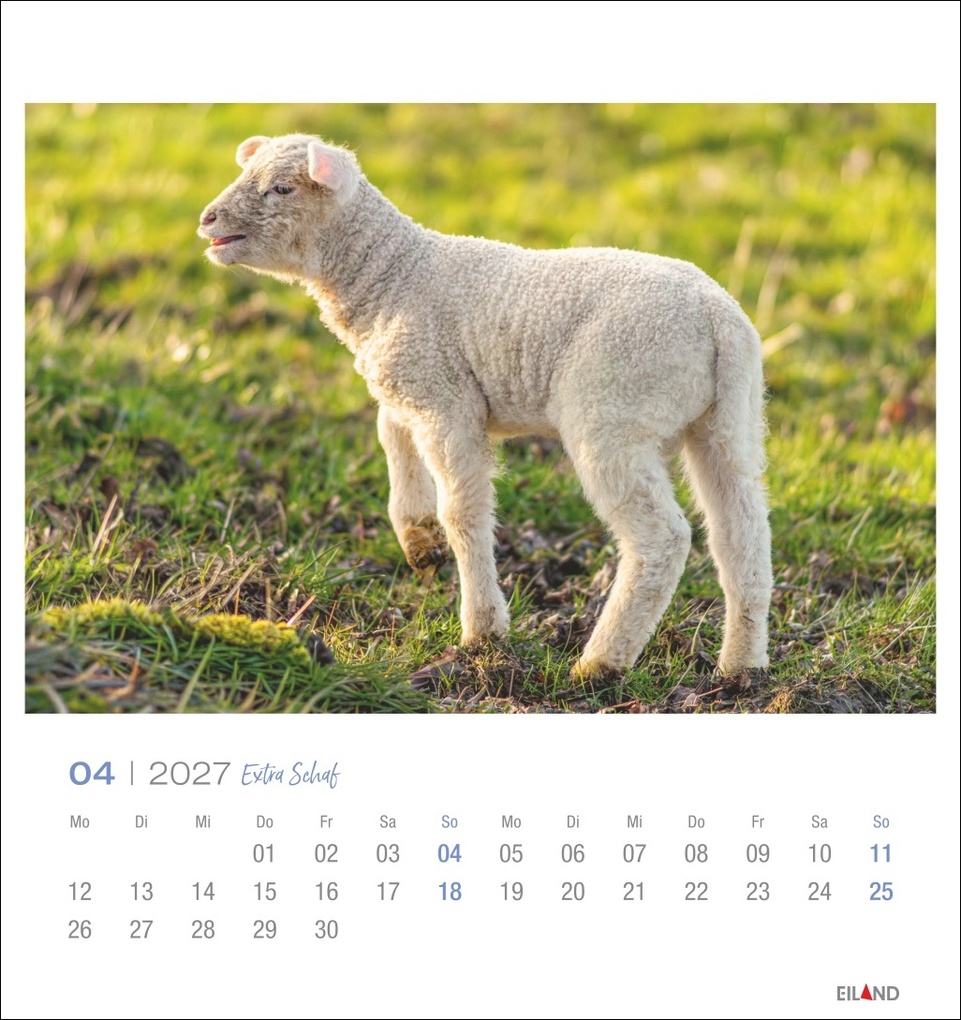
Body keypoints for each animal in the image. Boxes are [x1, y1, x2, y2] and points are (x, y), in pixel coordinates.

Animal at [198, 133, 772, 679]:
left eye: (281, 188)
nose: (207, 219)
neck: (391, 275)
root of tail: (717, 316)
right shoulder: (415, 382)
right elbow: (390, 435)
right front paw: (417, 538)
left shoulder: (447, 403)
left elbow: (463, 512)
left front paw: (483, 630)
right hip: (729, 421)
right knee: (742, 536)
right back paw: (741, 666)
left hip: (614, 410)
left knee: (663, 540)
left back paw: (601, 662)